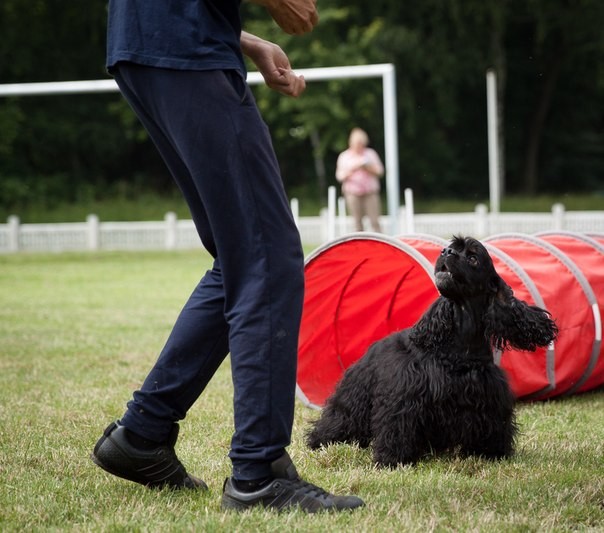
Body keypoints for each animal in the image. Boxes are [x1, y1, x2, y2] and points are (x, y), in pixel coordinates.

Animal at [306, 235, 556, 464]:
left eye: (473, 257)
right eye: (452, 247)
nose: (446, 251)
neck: (461, 339)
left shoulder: (487, 397)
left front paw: (491, 453)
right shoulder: (405, 398)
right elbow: (397, 425)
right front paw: (391, 459)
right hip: (354, 395)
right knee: (340, 419)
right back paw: (320, 441)